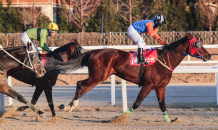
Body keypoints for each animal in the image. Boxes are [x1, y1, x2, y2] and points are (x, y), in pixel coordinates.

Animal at [46, 33, 211, 122]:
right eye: (197, 44)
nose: (209, 55)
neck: (164, 61)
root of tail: (93, 52)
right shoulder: (147, 85)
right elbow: (137, 103)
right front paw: (119, 118)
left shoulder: (160, 87)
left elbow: (162, 105)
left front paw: (170, 120)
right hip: (98, 76)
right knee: (80, 84)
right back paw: (70, 106)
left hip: (98, 77)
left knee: (82, 87)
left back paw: (69, 106)